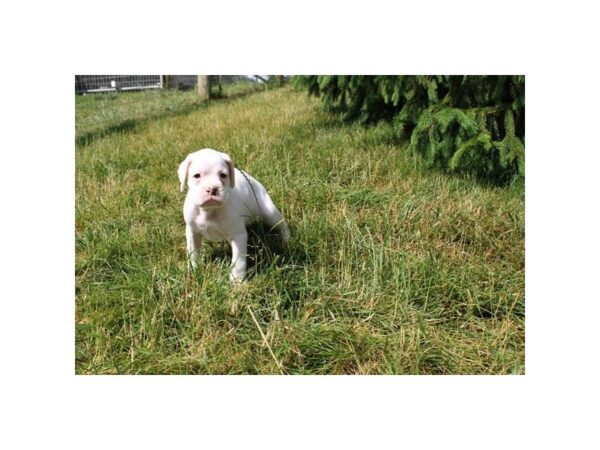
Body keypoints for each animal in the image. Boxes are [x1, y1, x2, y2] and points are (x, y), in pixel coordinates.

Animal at [178, 148, 290, 282]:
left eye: (223, 175)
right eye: (197, 175)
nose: (212, 189)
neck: (210, 210)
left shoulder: (238, 236)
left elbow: (238, 261)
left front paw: (236, 281)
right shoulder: (192, 232)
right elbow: (193, 252)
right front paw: (194, 270)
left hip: (270, 212)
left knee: (281, 224)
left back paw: (287, 238)